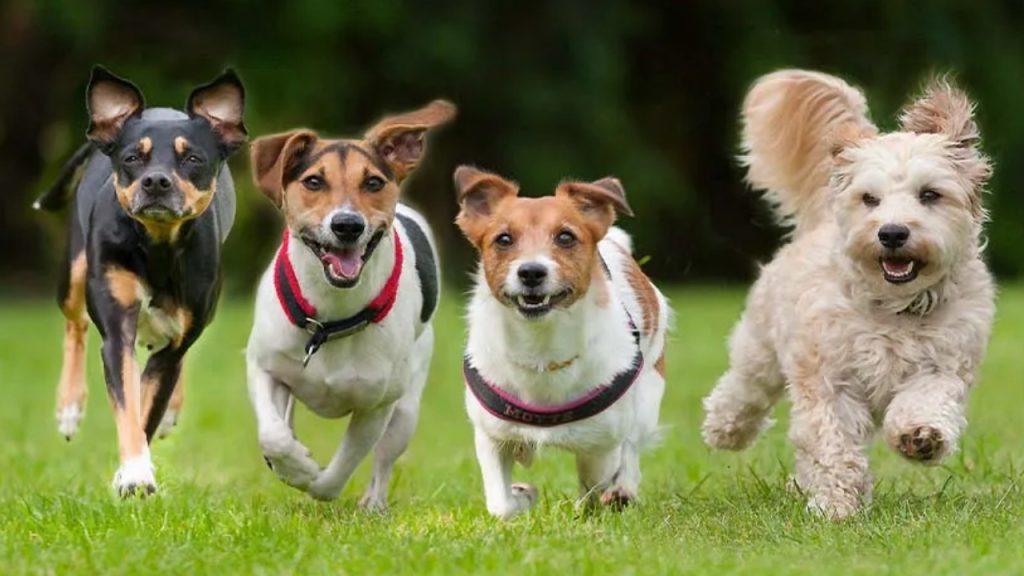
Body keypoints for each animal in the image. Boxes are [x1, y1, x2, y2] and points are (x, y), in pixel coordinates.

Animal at [35, 67, 245, 496]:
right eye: (132, 157)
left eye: (193, 158)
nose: (156, 182)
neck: (156, 247)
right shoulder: (118, 331)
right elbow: (129, 406)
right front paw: (134, 473)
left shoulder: (175, 342)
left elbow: (148, 407)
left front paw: (132, 472)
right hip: (74, 272)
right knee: (75, 324)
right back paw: (69, 407)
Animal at [245, 99, 454, 506]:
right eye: (314, 181)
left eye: (373, 182)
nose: (347, 225)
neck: (330, 320)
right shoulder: (264, 366)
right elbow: (273, 435)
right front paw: (293, 463)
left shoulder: (376, 405)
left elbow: (337, 472)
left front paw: (311, 477)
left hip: (406, 406)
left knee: (385, 456)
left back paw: (373, 503)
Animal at [452, 165, 667, 516]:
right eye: (503, 239)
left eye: (565, 237)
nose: (531, 271)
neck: (540, 346)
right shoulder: (491, 436)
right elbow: (501, 504)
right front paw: (522, 496)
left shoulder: (601, 445)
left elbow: (596, 480)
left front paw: (593, 502)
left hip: (648, 393)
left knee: (632, 447)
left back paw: (623, 489)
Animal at [700, 69, 995, 518]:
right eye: (869, 198)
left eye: (930, 194)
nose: (892, 232)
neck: (894, 310)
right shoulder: (828, 379)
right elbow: (831, 443)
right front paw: (835, 506)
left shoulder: (945, 364)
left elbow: (927, 399)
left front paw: (921, 436)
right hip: (762, 345)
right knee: (746, 386)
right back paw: (726, 427)